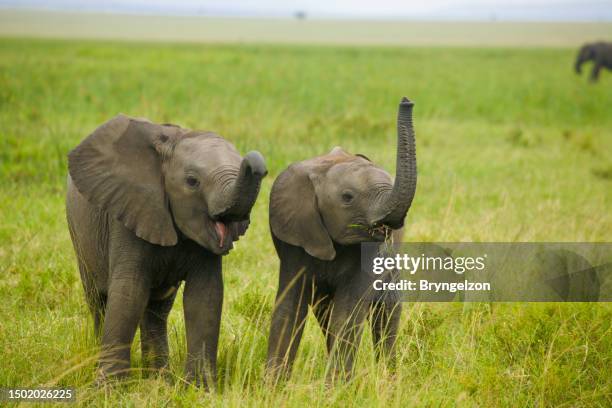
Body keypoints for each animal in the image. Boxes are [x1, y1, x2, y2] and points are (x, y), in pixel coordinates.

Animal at [65, 114, 266, 386]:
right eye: (192, 181)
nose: (257, 163)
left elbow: (205, 297)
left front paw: (199, 388)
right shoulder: (129, 214)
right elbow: (129, 292)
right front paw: (110, 388)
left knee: (156, 309)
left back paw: (158, 378)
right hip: (79, 234)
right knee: (98, 301)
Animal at [266, 99, 418, 382]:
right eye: (348, 197)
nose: (406, 101)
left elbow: (347, 315)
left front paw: (335, 387)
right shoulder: (294, 239)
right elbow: (290, 309)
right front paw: (272, 386)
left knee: (386, 313)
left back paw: (389, 379)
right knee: (325, 313)